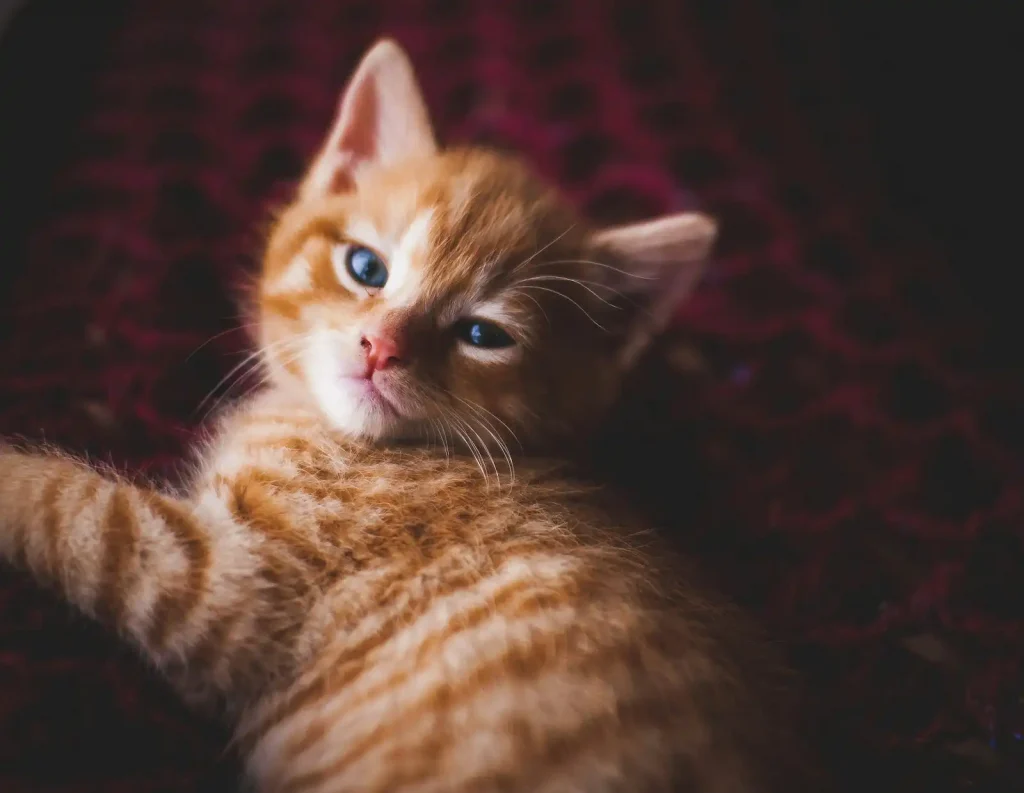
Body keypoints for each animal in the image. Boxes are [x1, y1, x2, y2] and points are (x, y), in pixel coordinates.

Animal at [2, 42, 815, 793]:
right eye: (366, 268)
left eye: (483, 334)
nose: (382, 345)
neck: (351, 438)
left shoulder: (223, 584)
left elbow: (77, 508)